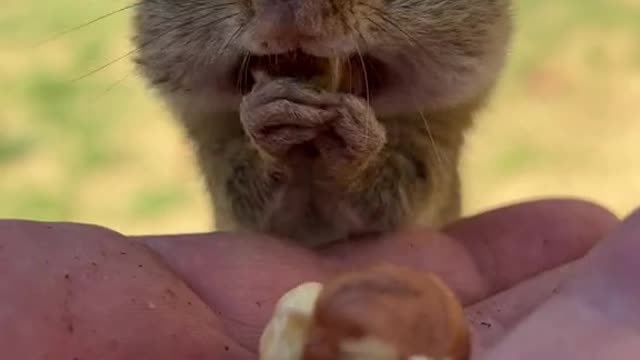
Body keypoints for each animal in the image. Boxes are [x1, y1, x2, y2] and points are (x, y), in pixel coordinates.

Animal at [132, 0, 512, 248]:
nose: (286, 9)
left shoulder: (433, 147)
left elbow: (396, 198)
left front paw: (356, 138)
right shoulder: (215, 150)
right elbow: (243, 195)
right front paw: (266, 117)